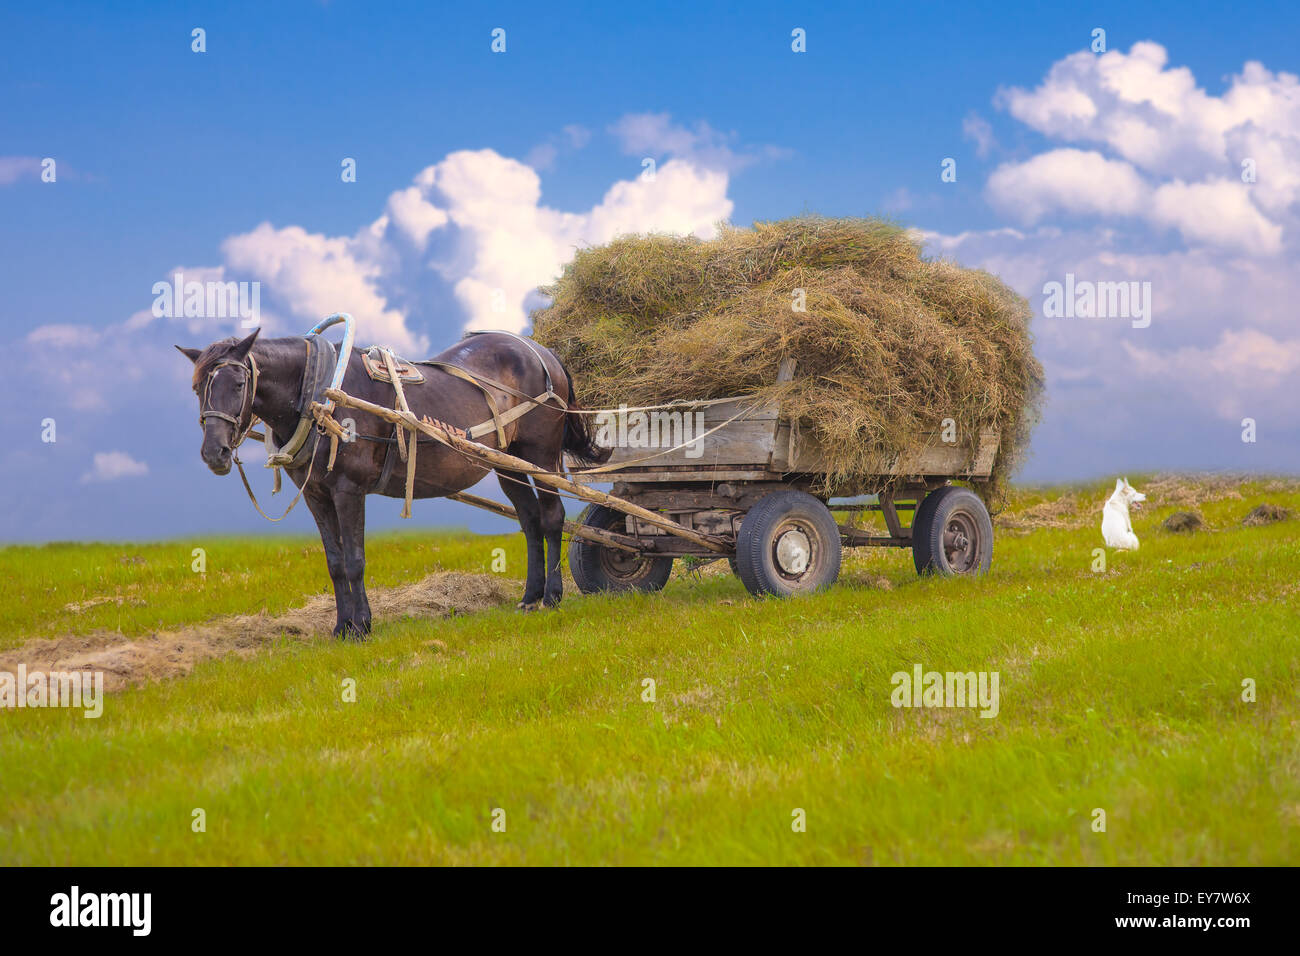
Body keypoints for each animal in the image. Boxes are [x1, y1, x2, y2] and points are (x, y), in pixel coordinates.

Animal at [174, 327, 613, 634]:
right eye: (196, 388)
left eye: (239, 384)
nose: (214, 453)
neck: (319, 394)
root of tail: (542, 351)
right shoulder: (316, 494)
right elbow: (335, 563)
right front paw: (341, 627)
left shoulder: (348, 490)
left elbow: (355, 561)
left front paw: (363, 626)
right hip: (509, 462)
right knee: (530, 521)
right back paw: (529, 597)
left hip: (541, 454)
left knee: (552, 517)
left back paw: (552, 596)